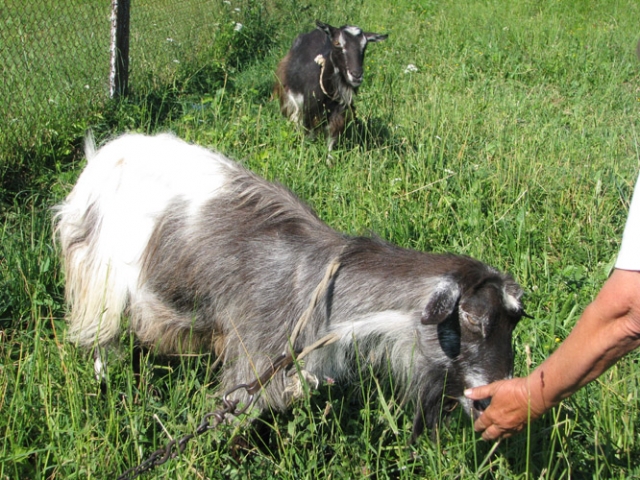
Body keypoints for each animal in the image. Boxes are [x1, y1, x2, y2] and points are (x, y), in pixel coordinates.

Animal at [56, 133, 524, 440]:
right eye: (471, 317)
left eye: (515, 320)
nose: (493, 399)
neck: (316, 287)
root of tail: (100, 157)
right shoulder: (252, 361)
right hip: (97, 277)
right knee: (102, 338)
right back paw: (107, 380)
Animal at [274, 20, 388, 150]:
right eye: (337, 43)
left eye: (364, 46)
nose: (356, 75)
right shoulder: (308, 113)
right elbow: (307, 139)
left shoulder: (338, 114)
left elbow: (330, 144)